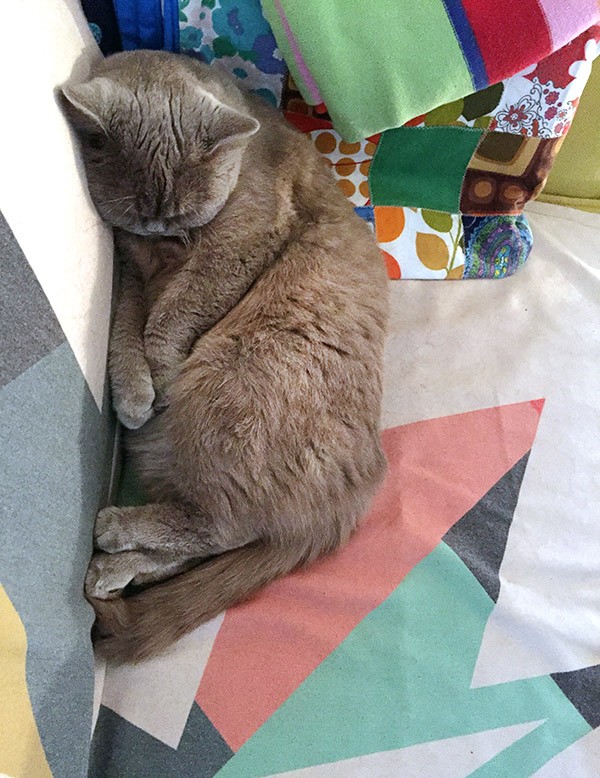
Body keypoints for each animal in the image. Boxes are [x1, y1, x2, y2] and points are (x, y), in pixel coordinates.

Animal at [61, 51, 390, 664]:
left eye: (182, 212)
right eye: (142, 212)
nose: (161, 227)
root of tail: (354, 495)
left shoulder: (236, 245)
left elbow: (174, 313)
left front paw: (159, 375)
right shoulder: (131, 270)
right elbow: (124, 331)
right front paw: (135, 391)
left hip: (231, 384)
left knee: (220, 526)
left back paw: (115, 530)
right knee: (206, 542)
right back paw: (115, 570)